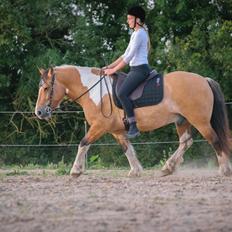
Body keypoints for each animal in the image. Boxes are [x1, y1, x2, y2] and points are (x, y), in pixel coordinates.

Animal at [35, 64, 232, 177]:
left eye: (46, 88)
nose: (39, 112)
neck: (94, 90)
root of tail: (204, 80)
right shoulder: (117, 131)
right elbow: (127, 149)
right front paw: (135, 170)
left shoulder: (99, 126)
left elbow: (83, 143)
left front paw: (76, 170)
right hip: (182, 120)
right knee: (185, 142)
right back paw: (168, 167)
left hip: (200, 121)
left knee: (214, 140)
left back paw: (224, 170)